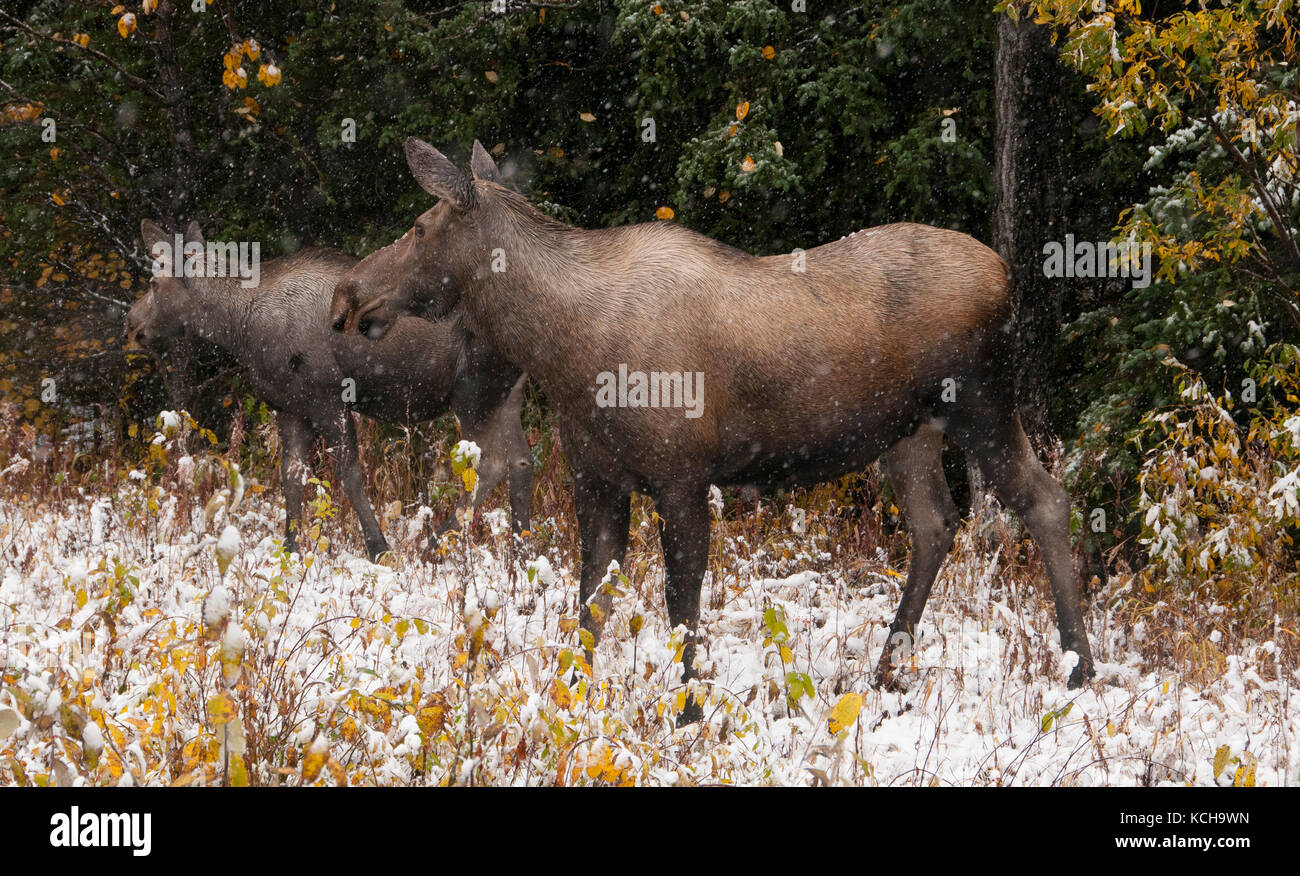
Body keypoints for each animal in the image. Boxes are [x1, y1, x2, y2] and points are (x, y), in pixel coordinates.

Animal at [129, 218, 535, 558]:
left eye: (153, 283)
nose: (131, 322)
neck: (239, 328)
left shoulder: (327, 399)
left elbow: (348, 473)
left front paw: (378, 547)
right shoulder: (289, 405)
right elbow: (291, 476)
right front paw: (290, 548)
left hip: (473, 392)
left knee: (490, 463)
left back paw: (432, 544)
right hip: (508, 396)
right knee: (521, 460)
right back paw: (521, 552)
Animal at [330, 138, 1092, 707]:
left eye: (420, 227)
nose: (346, 296)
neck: (561, 350)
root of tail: (1006, 276)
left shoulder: (681, 477)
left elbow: (680, 605)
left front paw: (690, 709)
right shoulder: (596, 479)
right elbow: (590, 601)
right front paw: (573, 696)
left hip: (983, 403)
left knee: (1046, 500)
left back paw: (1079, 667)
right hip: (905, 434)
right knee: (937, 523)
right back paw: (885, 669)